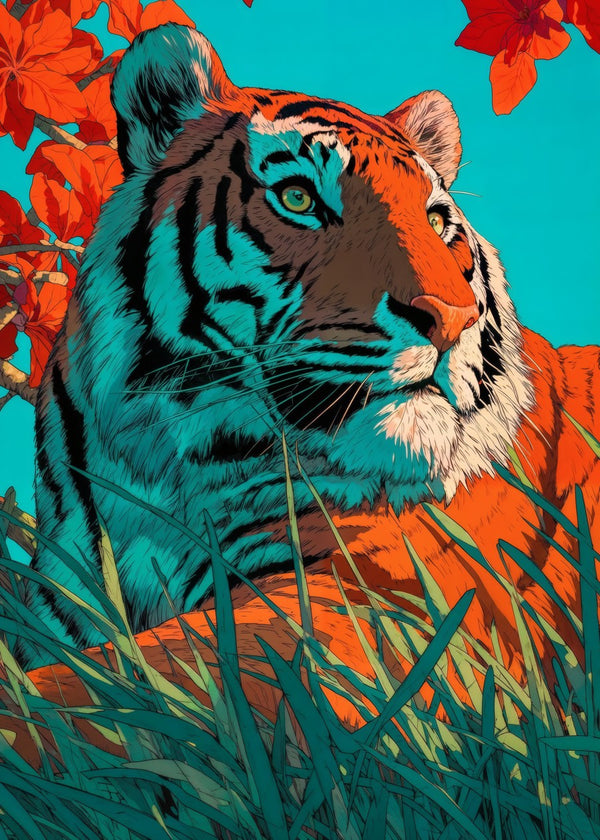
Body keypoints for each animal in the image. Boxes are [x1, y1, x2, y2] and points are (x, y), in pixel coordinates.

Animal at [19, 21, 600, 709]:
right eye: (298, 198)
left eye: (436, 219)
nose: (452, 317)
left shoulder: (363, 604)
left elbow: (88, 691)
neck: (157, 475)